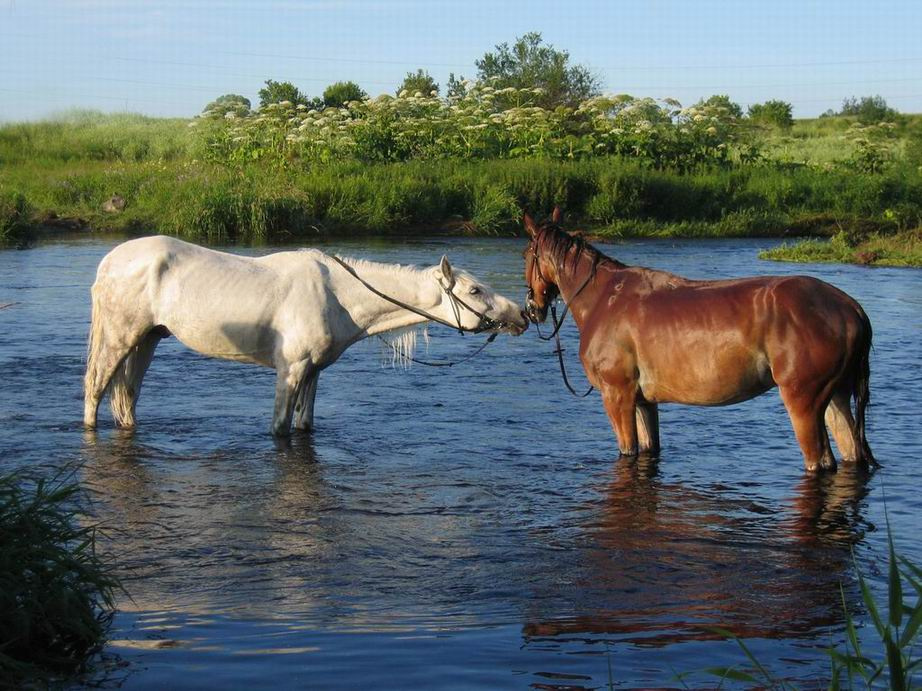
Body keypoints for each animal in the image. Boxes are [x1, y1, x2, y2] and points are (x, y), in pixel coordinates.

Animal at [84, 236, 528, 436]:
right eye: (475, 291)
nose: (521, 315)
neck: (337, 295)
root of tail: (109, 261)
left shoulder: (313, 373)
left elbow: (304, 424)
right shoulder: (291, 370)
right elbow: (280, 427)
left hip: (147, 339)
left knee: (128, 397)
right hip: (120, 338)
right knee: (95, 388)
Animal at [523, 208, 874, 472]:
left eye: (527, 254)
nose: (532, 308)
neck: (604, 299)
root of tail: (850, 308)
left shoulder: (616, 396)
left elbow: (628, 452)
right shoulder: (643, 402)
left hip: (804, 402)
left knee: (819, 461)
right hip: (835, 398)